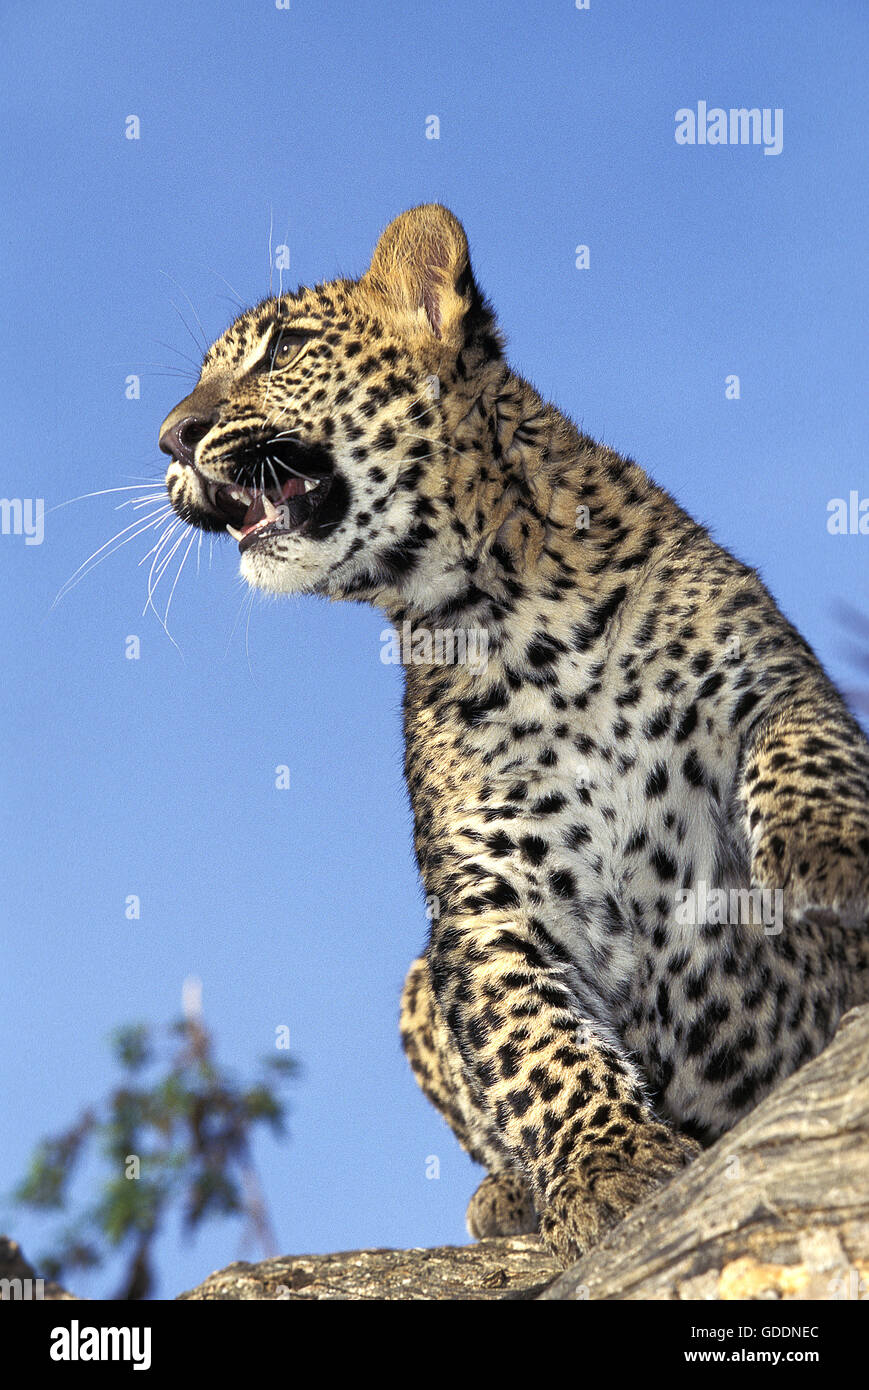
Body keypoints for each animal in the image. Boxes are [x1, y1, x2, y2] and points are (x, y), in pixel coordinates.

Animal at [159, 204, 869, 1266]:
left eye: (281, 349)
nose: (169, 437)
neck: (509, 619)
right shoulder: (488, 891)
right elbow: (534, 1042)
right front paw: (612, 1170)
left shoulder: (771, 686)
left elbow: (803, 758)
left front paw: (829, 861)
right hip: (415, 985)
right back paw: (508, 1197)